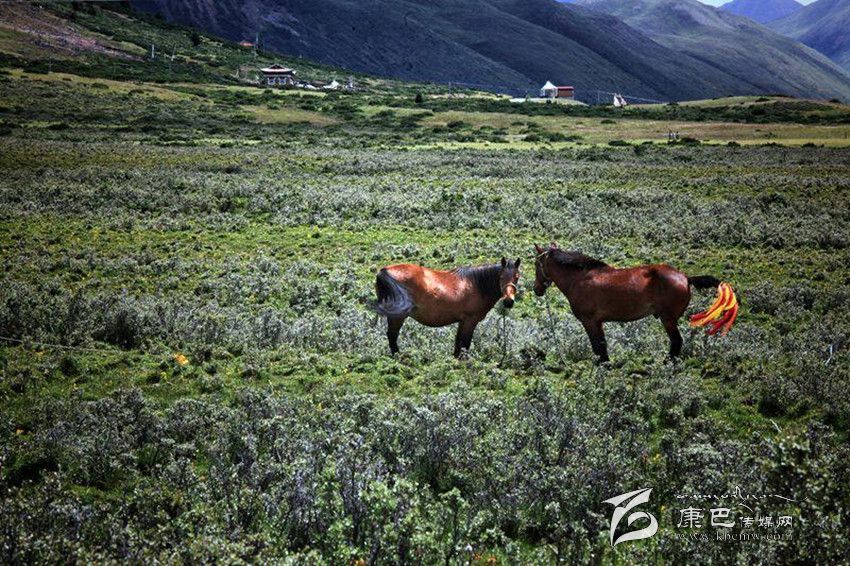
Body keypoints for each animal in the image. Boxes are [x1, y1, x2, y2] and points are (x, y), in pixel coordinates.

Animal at [374, 258, 520, 358]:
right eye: (501, 277)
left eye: (517, 277)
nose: (508, 301)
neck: (476, 285)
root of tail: (384, 272)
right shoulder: (469, 321)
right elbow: (465, 343)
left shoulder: (462, 321)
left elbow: (458, 344)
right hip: (398, 316)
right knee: (392, 335)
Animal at [532, 244, 732, 364]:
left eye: (535, 264)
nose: (536, 289)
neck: (579, 279)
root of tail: (685, 277)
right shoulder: (598, 322)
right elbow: (602, 346)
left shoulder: (590, 322)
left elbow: (598, 346)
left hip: (667, 319)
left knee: (676, 342)